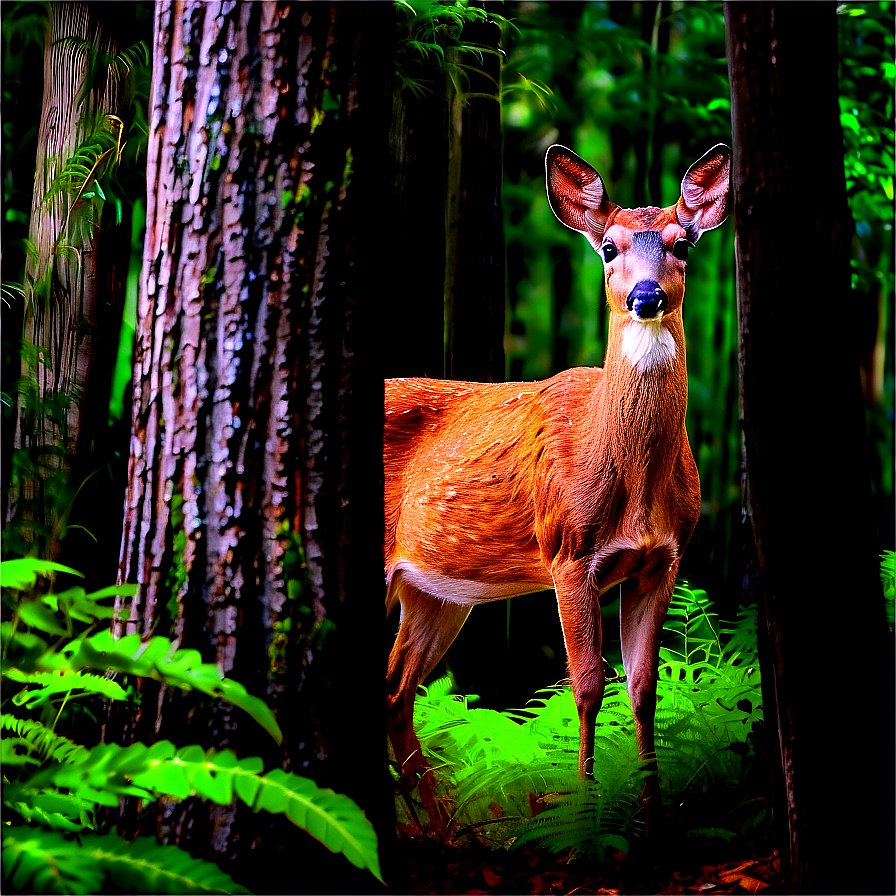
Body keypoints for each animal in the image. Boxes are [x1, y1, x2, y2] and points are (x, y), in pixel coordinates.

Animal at [384, 142, 728, 832]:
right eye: (609, 247)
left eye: (683, 242)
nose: (646, 295)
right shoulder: (567, 551)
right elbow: (588, 684)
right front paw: (586, 819)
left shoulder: (665, 557)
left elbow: (644, 686)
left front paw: (653, 816)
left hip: (435, 589)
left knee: (396, 688)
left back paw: (441, 827)